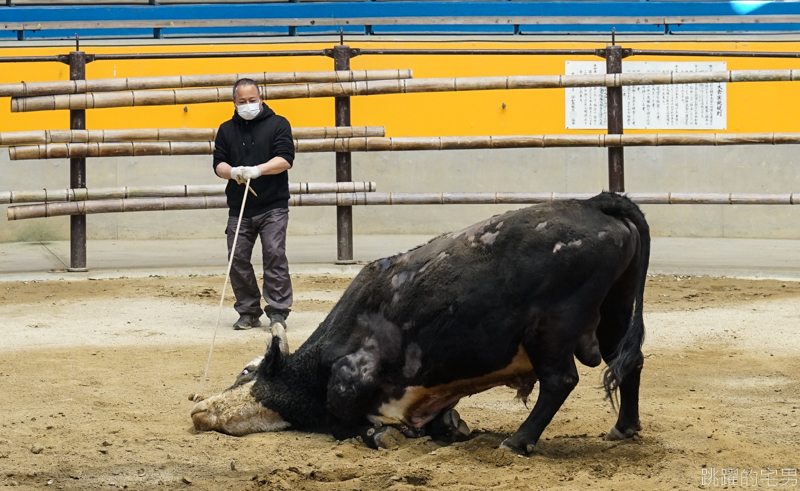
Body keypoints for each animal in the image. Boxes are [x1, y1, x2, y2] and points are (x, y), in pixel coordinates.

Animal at [192, 193, 648, 458]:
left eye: (246, 371)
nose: (197, 409)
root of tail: (595, 203)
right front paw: (449, 428)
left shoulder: (350, 375)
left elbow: (342, 423)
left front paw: (381, 434)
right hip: (615, 315)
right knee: (631, 363)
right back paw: (624, 428)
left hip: (550, 331)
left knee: (559, 381)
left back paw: (518, 441)